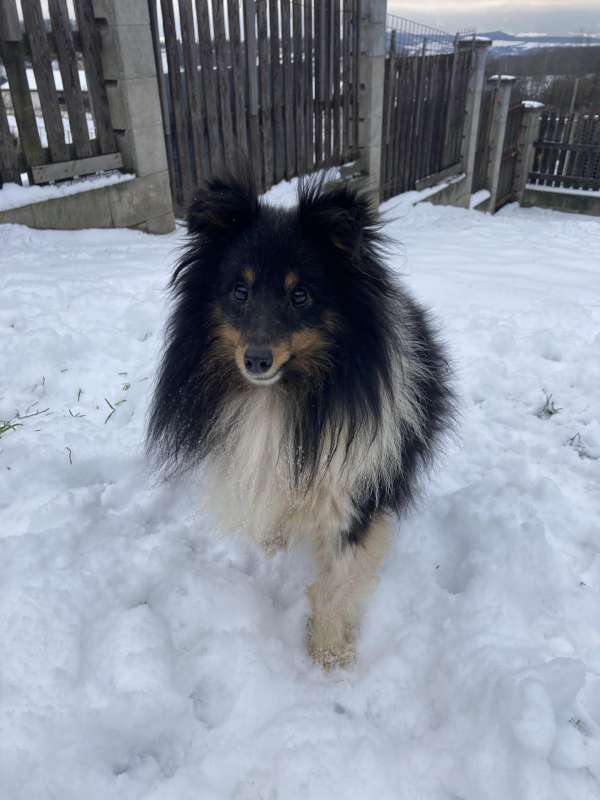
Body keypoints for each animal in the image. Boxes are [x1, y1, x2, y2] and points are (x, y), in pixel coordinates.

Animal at [147, 173, 453, 669]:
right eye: (240, 291)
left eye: (300, 294)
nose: (256, 360)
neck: (284, 396)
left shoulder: (351, 495)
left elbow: (336, 583)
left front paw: (329, 656)